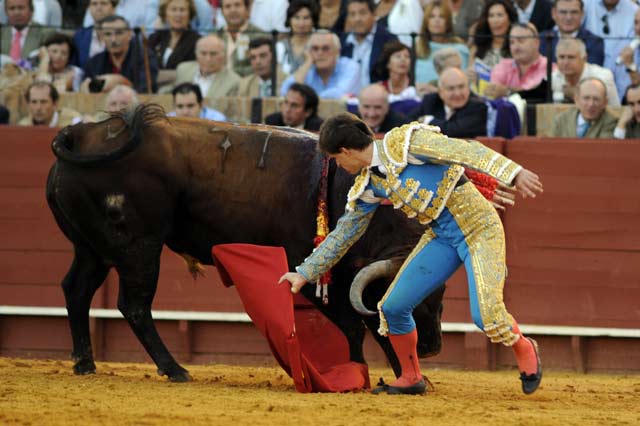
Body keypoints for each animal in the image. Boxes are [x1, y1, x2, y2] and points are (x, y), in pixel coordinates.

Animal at [46, 104, 444, 382]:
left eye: (437, 297)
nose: (432, 347)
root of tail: (81, 134)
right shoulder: (310, 270)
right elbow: (354, 327)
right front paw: (359, 372)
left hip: (93, 248)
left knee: (76, 289)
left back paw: (85, 363)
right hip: (138, 245)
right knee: (134, 305)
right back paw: (174, 370)